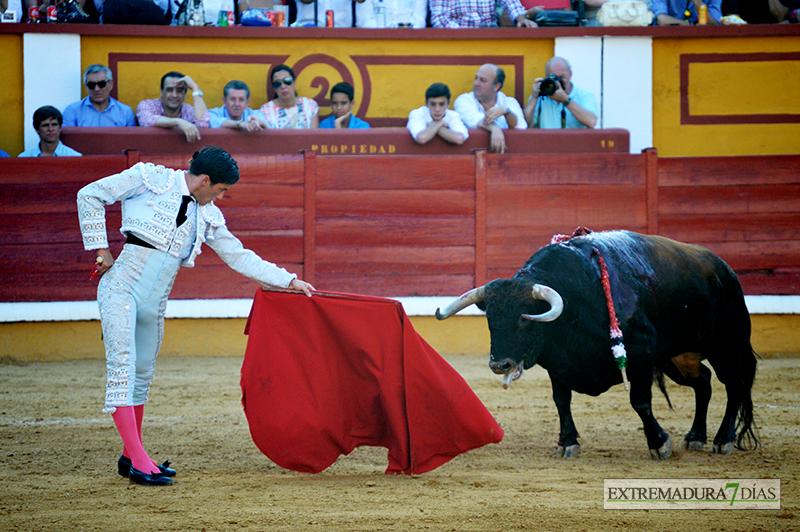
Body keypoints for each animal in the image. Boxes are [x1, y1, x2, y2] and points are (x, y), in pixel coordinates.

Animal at [438, 231, 756, 460]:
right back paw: (695, 437)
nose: (499, 364)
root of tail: (725, 270)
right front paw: (567, 442)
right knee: (703, 382)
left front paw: (659, 443)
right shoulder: (558, 362)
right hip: (677, 358)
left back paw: (723, 440)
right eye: (490, 318)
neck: (579, 296)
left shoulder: (640, 353)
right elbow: (561, 400)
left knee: (735, 385)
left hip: (727, 345)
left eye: (525, 318)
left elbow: (640, 400)